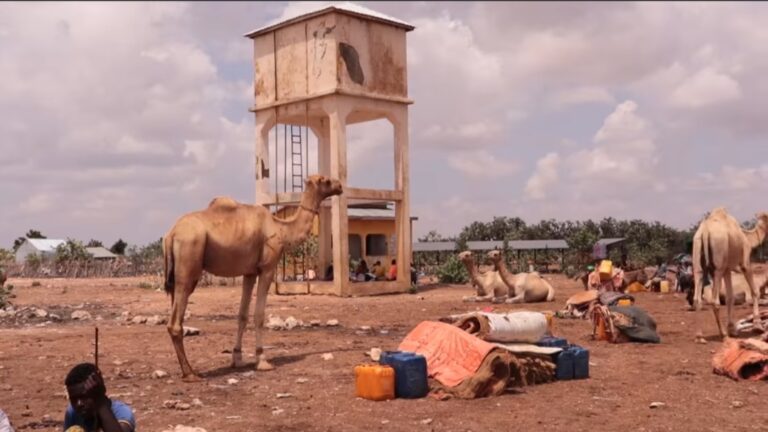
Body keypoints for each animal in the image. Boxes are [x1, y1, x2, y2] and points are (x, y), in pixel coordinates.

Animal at [164, 174, 344, 380]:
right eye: (326, 180)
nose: (340, 186)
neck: (281, 228)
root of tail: (170, 234)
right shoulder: (266, 269)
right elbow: (259, 314)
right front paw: (262, 360)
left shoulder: (249, 272)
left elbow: (242, 315)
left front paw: (237, 358)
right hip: (188, 263)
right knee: (175, 321)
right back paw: (190, 373)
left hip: (177, 274)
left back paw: (187, 370)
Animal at [688, 208, 768, 340]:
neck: (747, 236)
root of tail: (705, 231)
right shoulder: (744, 262)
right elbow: (754, 291)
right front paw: (758, 327)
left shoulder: (727, 269)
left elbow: (730, 297)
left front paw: (733, 330)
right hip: (718, 266)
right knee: (714, 301)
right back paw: (723, 333)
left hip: (698, 258)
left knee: (697, 297)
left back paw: (699, 336)